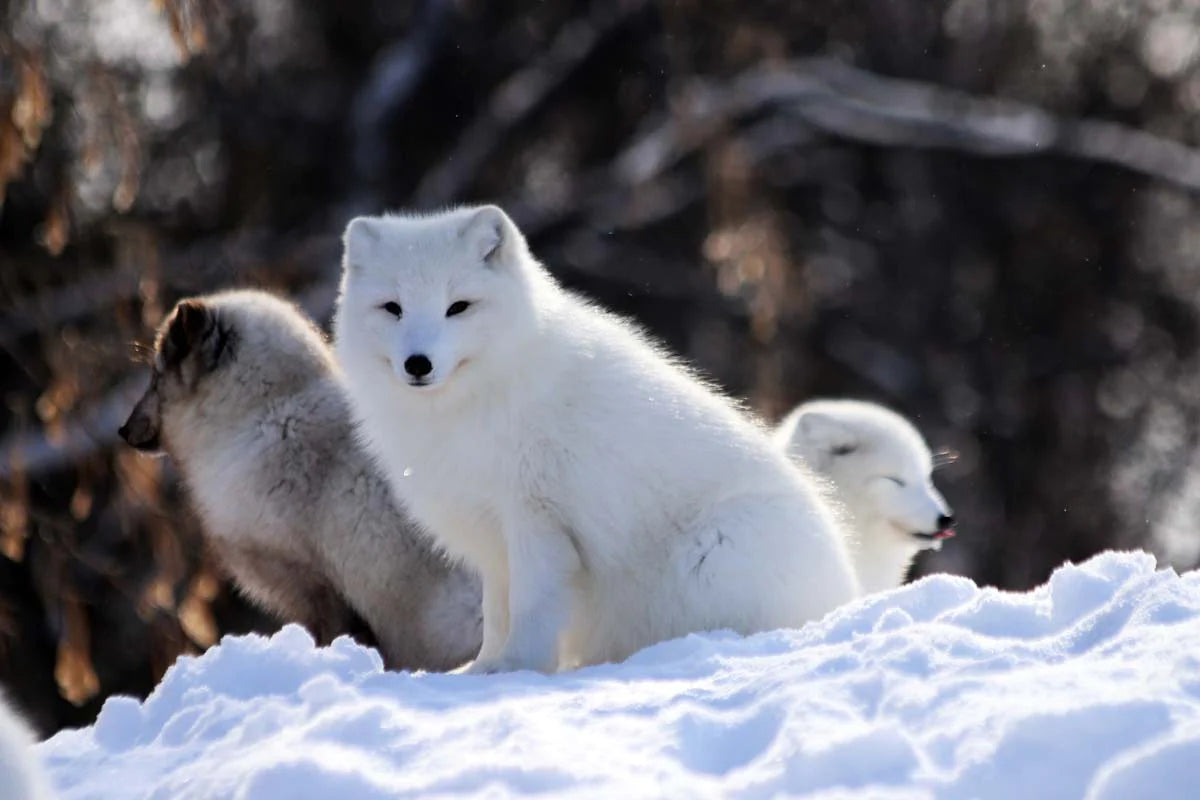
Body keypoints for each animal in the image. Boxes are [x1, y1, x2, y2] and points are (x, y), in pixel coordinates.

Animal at [333, 204, 859, 674]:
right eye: (393, 308)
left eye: (458, 307)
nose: (417, 364)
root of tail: (843, 592)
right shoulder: (493, 538)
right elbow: (496, 614)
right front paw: (480, 669)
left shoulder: (536, 520)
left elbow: (529, 609)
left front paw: (517, 669)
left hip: (714, 553)